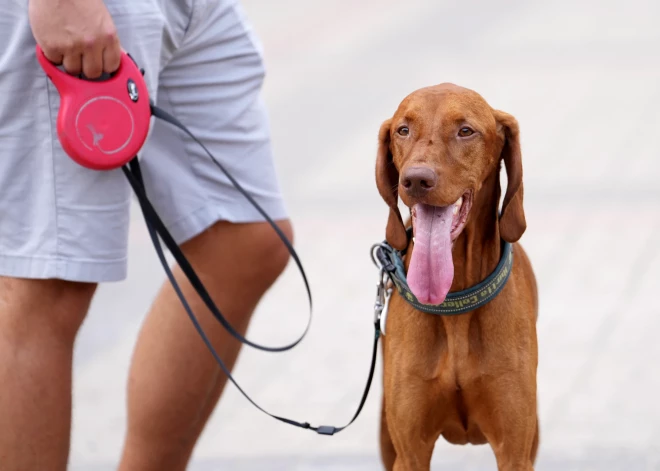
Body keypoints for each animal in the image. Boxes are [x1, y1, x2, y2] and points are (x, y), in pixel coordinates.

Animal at [374, 83, 540, 470]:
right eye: (402, 130)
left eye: (465, 130)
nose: (416, 179)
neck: (455, 301)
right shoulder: (410, 452)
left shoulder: (515, 451)